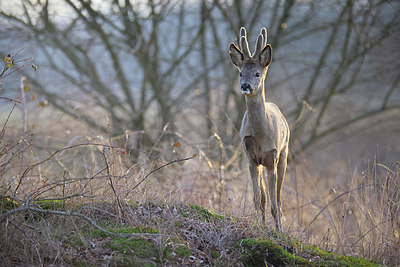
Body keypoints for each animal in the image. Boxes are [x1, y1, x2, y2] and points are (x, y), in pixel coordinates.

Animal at [228, 27, 290, 232]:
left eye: (257, 73)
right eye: (240, 73)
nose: (245, 86)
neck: (261, 134)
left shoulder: (272, 158)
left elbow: (274, 203)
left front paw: (279, 232)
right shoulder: (251, 159)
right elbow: (258, 199)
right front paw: (258, 225)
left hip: (284, 155)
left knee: (278, 199)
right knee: (264, 197)